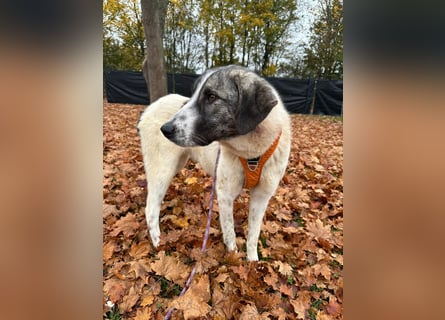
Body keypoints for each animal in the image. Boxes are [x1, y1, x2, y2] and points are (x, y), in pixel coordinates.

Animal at [139, 65, 292, 260]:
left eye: (211, 97)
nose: (165, 129)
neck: (252, 154)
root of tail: (150, 107)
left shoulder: (261, 197)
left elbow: (253, 235)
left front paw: (252, 262)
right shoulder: (225, 194)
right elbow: (230, 234)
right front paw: (233, 260)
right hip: (163, 170)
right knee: (150, 208)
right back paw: (159, 244)